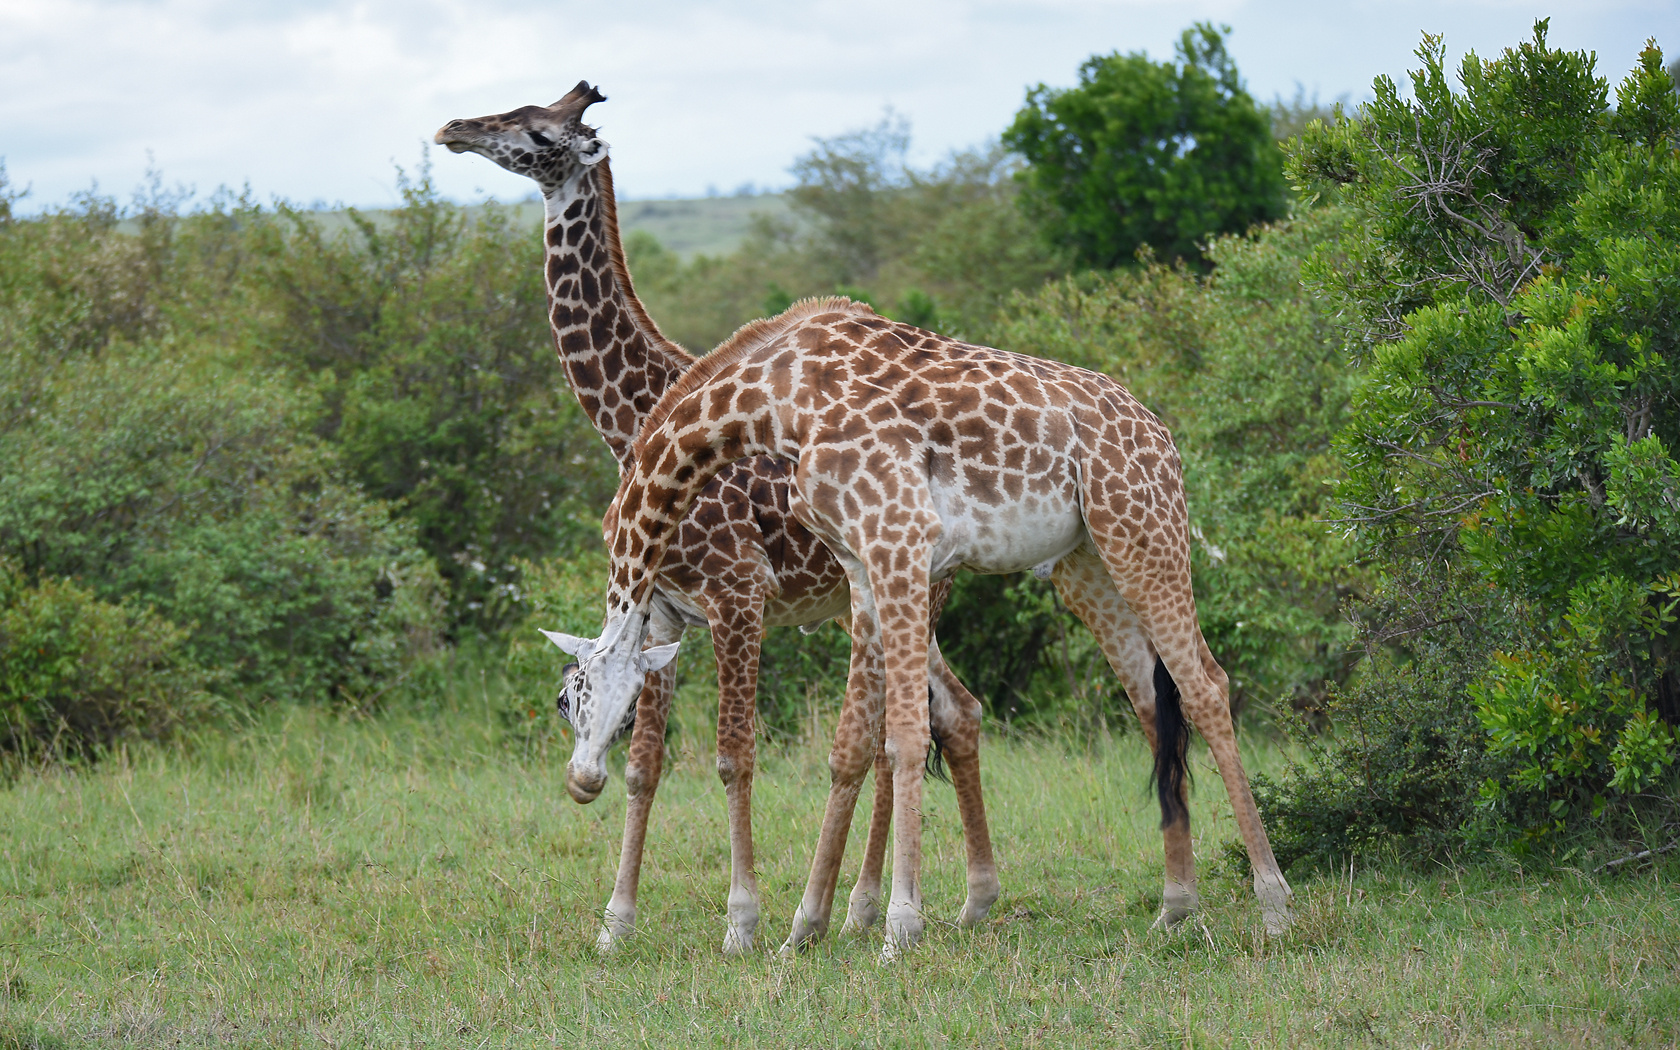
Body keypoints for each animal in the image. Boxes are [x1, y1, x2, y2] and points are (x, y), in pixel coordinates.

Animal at [436, 86, 994, 954]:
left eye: (538, 129)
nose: (454, 129)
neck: (633, 419)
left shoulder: (738, 595)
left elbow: (734, 758)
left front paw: (742, 923)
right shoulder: (664, 610)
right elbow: (648, 766)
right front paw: (616, 924)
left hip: (906, 593)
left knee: (901, 729)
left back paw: (871, 906)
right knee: (954, 713)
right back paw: (938, 903)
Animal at [564, 295, 1296, 960]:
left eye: (619, 708)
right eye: (568, 703)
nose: (581, 781)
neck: (776, 400)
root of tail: (1164, 437)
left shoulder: (897, 539)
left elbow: (908, 735)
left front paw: (896, 929)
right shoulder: (860, 565)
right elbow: (855, 741)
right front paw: (805, 928)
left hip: (1143, 530)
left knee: (1205, 687)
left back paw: (1274, 906)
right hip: (1089, 560)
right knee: (1152, 699)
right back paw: (1174, 909)